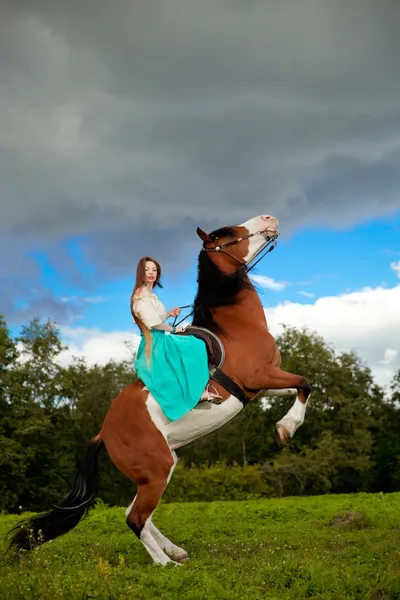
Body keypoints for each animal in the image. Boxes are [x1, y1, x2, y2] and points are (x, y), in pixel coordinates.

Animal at [7, 213, 310, 564]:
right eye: (225, 234)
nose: (269, 218)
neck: (236, 328)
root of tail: (103, 433)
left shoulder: (260, 387)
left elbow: (302, 388)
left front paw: (284, 427)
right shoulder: (261, 377)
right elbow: (306, 383)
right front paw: (285, 429)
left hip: (157, 469)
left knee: (136, 512)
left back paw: (174, 550)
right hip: (158, 468)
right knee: (135, 517)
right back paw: (166, 563)